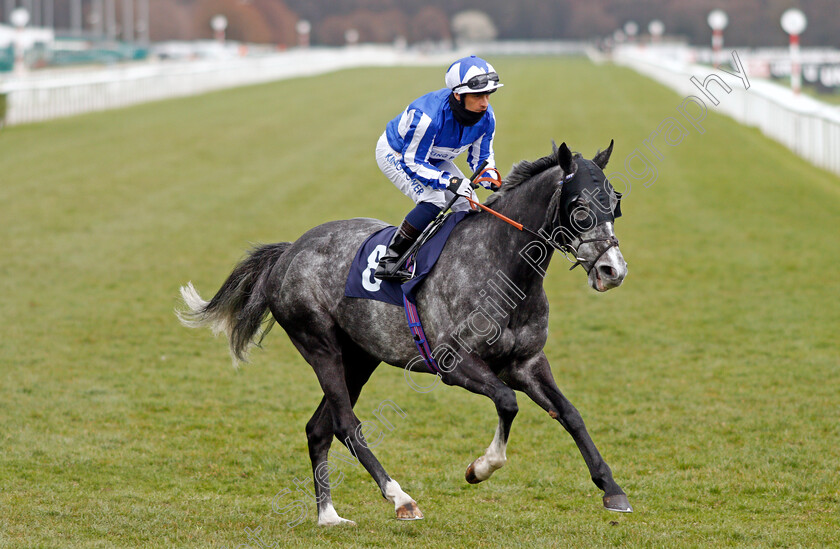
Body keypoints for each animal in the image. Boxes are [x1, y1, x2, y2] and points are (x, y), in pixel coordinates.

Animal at [180, 140, 632, 524]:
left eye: (614, 203)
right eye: (580, 207)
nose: (613, 271)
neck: (501, 266)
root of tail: (289, 251)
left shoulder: (526, 362)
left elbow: (570, 414)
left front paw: (612, 489)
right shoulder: (454, 364)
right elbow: (507, 403)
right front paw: (480, 468)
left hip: (359, 357)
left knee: (318, 429)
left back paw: (328, 515)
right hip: (320, 346)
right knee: (346, 424)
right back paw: (400, 498)